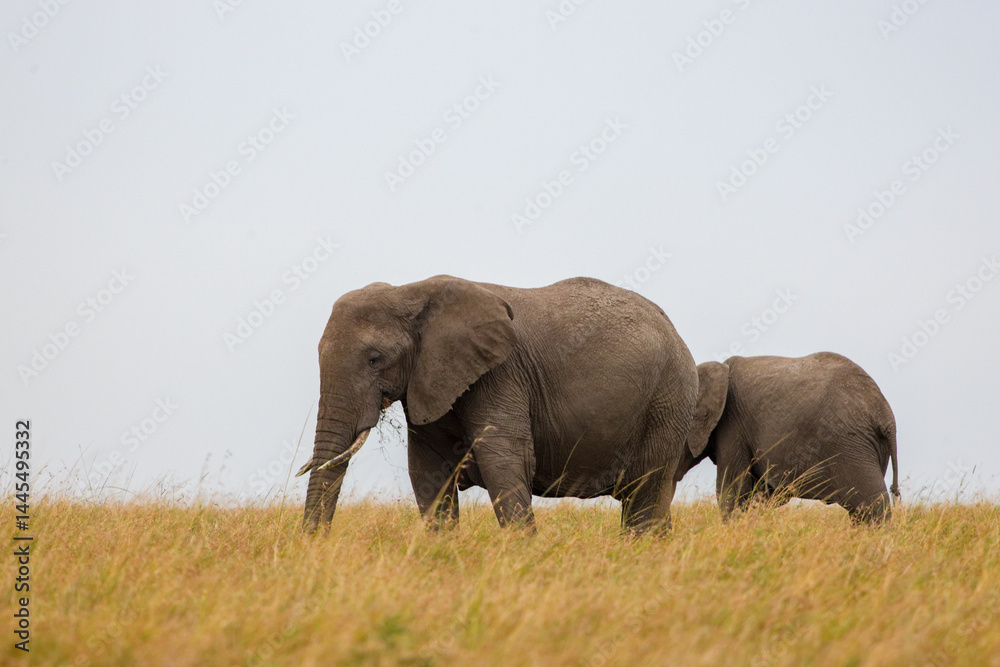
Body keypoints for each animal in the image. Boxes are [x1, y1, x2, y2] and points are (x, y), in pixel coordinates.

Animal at [296, 275, 698, 534]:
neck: (410, 291)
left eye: (375, 359)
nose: (315, 547)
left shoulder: (501, 374)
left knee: (645, 495)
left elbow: (504, 460)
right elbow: (427, 471)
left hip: (667, 400)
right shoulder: (428, 381)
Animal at [679, 353, 899, 524]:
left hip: (849, 445)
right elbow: (761, 493)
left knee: (872, 506)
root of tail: (886, 416)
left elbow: (733, 489)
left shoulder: (732, 426)